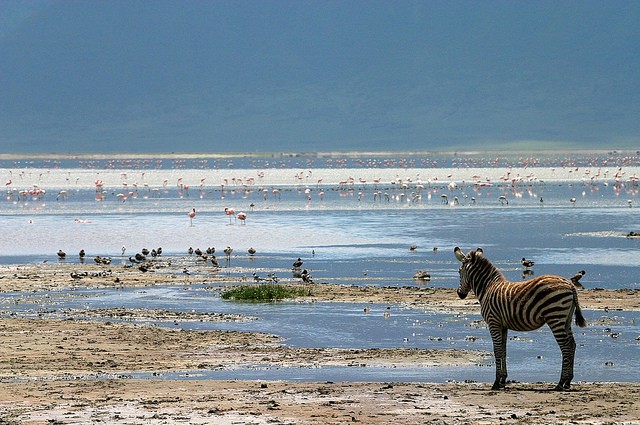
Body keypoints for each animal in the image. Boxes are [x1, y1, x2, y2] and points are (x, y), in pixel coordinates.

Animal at [456, 247, 584, 390]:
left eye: (459, 271)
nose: (459, 294)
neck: (488, 288)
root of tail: (570, 284)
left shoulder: (493, 321)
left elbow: (497, 350)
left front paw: (496, 382)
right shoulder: (503, 325)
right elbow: (504, 350)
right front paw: (503, 380)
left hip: (555, 317)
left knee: (566, 346)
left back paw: (560, 383)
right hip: (566, 319)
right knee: (572, 344)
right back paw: (568, 381)